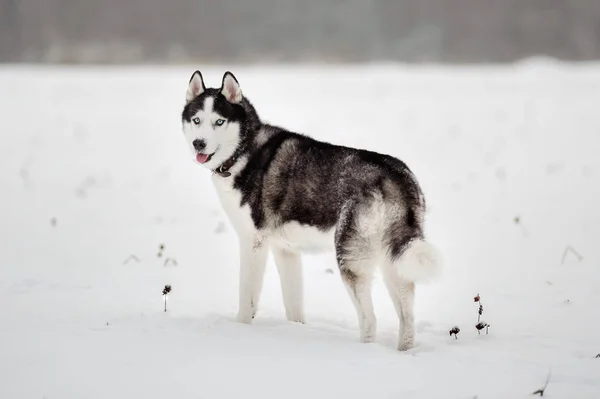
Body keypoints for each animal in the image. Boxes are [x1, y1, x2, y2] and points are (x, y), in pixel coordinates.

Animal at [178, 71, 440, 350]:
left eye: (219, 121)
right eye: (196, 120)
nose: (199, 143)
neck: (243, 151)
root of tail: (395, 175)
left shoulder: (254, 242)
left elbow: (247, 297)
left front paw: (240, 329)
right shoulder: (286, 250)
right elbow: (293, 305)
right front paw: (297, 330)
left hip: (350, 259)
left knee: (370, 319)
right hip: (395, 260)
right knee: (407, 318)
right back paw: (404, 350)